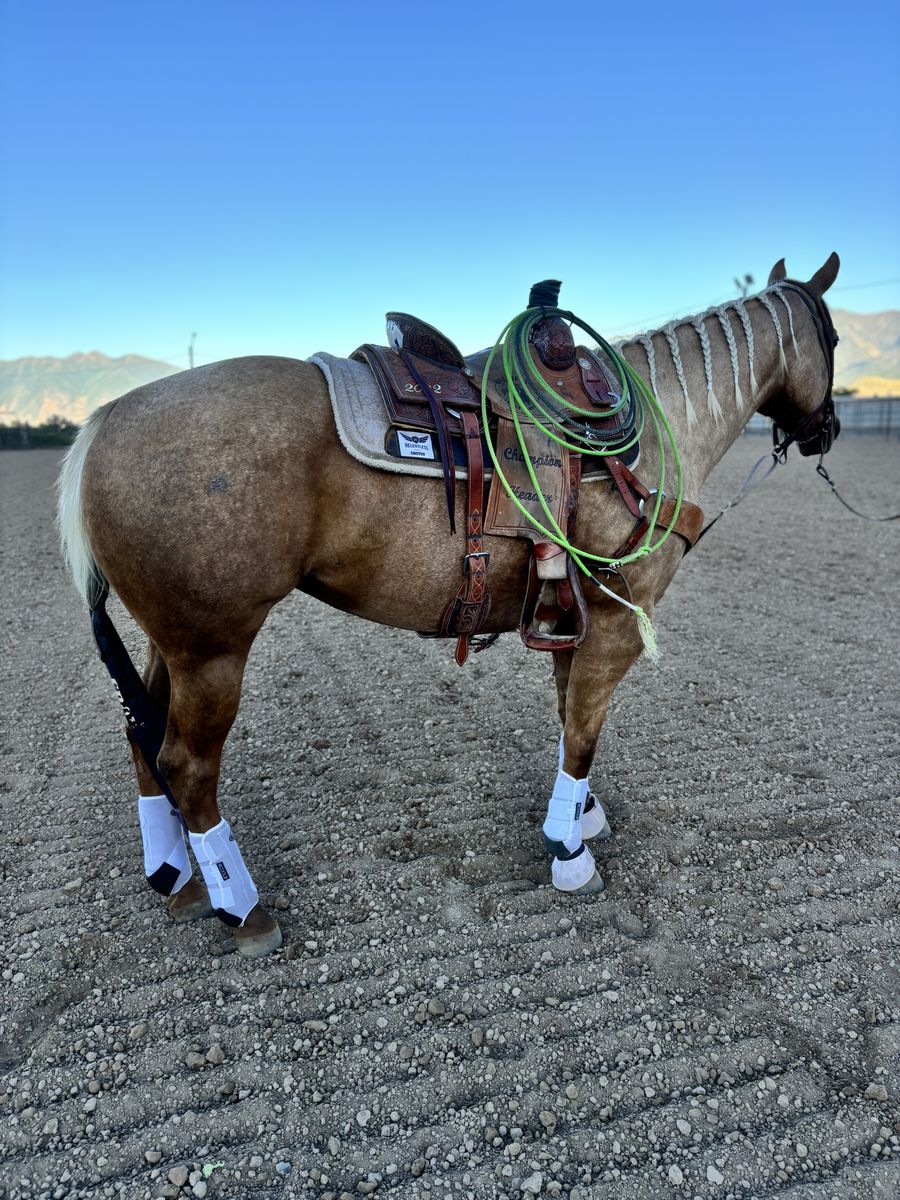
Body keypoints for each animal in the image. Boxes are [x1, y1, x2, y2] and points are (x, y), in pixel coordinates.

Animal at [57, 254, 841, 958]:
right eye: (831, 339)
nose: (826, 429)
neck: (651, 424)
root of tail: (106, 420)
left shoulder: (575, 620)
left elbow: (569, 717)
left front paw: (582, 817)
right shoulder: (617, 622)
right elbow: (584, 734)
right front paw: (569, 852)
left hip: (172, 642)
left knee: (142, 736)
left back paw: (181, 882)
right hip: (214, 648)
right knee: (187, 764)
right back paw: (241, 908)